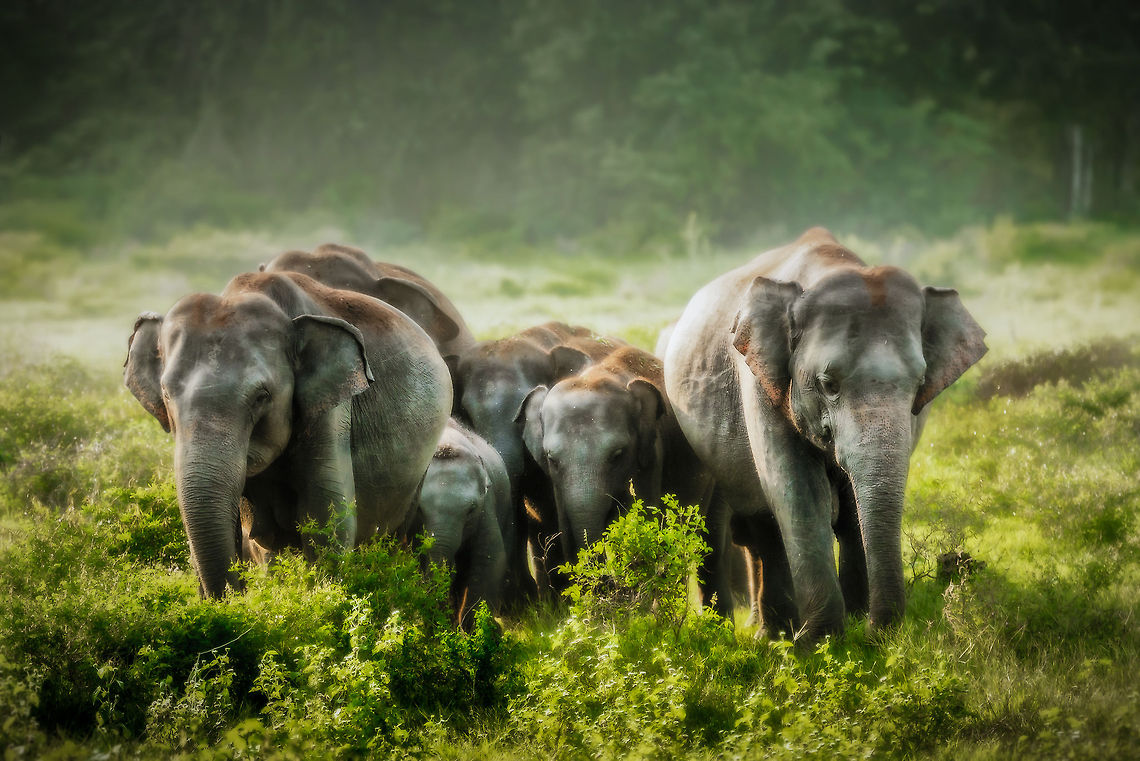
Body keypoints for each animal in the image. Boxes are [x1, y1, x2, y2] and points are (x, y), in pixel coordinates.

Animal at [663, 227, 987, 641]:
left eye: (919, 385)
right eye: (828, 384)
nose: (878, 631)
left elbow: (852, 508)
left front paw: (856, 626)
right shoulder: (761, 381)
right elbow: (799, 491)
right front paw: (823, 642)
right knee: (763, 529)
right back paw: (775, 635)